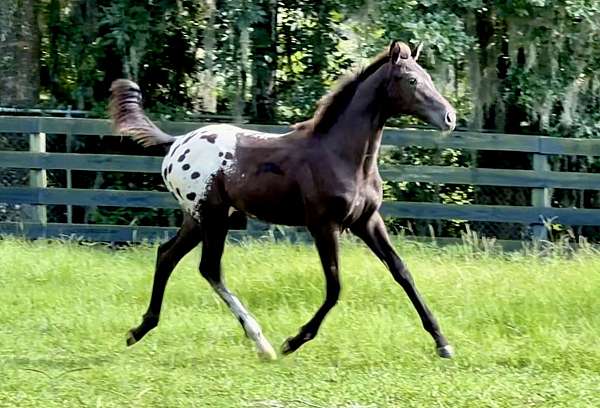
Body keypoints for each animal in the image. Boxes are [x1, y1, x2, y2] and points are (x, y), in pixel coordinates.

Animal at [109, 40, 454, 360]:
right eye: (412, 80)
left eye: (428, 76)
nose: (449, 118)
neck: (341, 156)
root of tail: (177, 142)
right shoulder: (323, 225)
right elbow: (334, 287)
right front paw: (294, 341)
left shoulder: (367, 221)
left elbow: (401, 272)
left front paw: (443, 342)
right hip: (212, 217)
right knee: (209, 268)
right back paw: (262, 343)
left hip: (199, 219)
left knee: (167, 256)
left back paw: (138, 330)